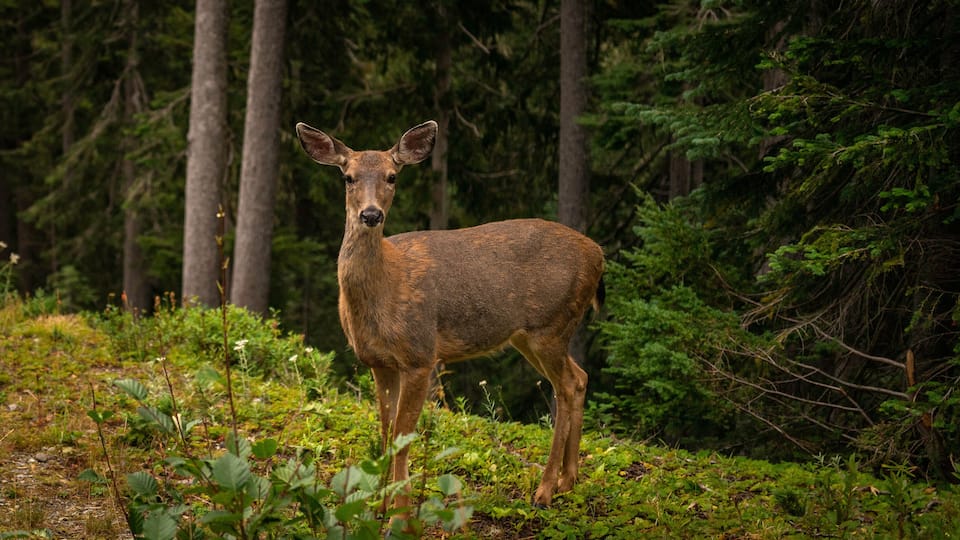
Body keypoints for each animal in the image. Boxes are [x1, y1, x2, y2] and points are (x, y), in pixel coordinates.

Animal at [295, 119, 605, 514]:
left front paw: (399, 508)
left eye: (392, 176)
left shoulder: (420, 355)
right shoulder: (378, 362)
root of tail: (599, 255)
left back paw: (545, 489)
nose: (371, 215)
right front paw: (379, 503)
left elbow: (402, 434)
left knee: (564, 386)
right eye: (348, 177)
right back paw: (568, 480)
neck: (384, 287)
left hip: (550, 325)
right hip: (532, 335)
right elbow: (385, 430)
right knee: (579, 378)